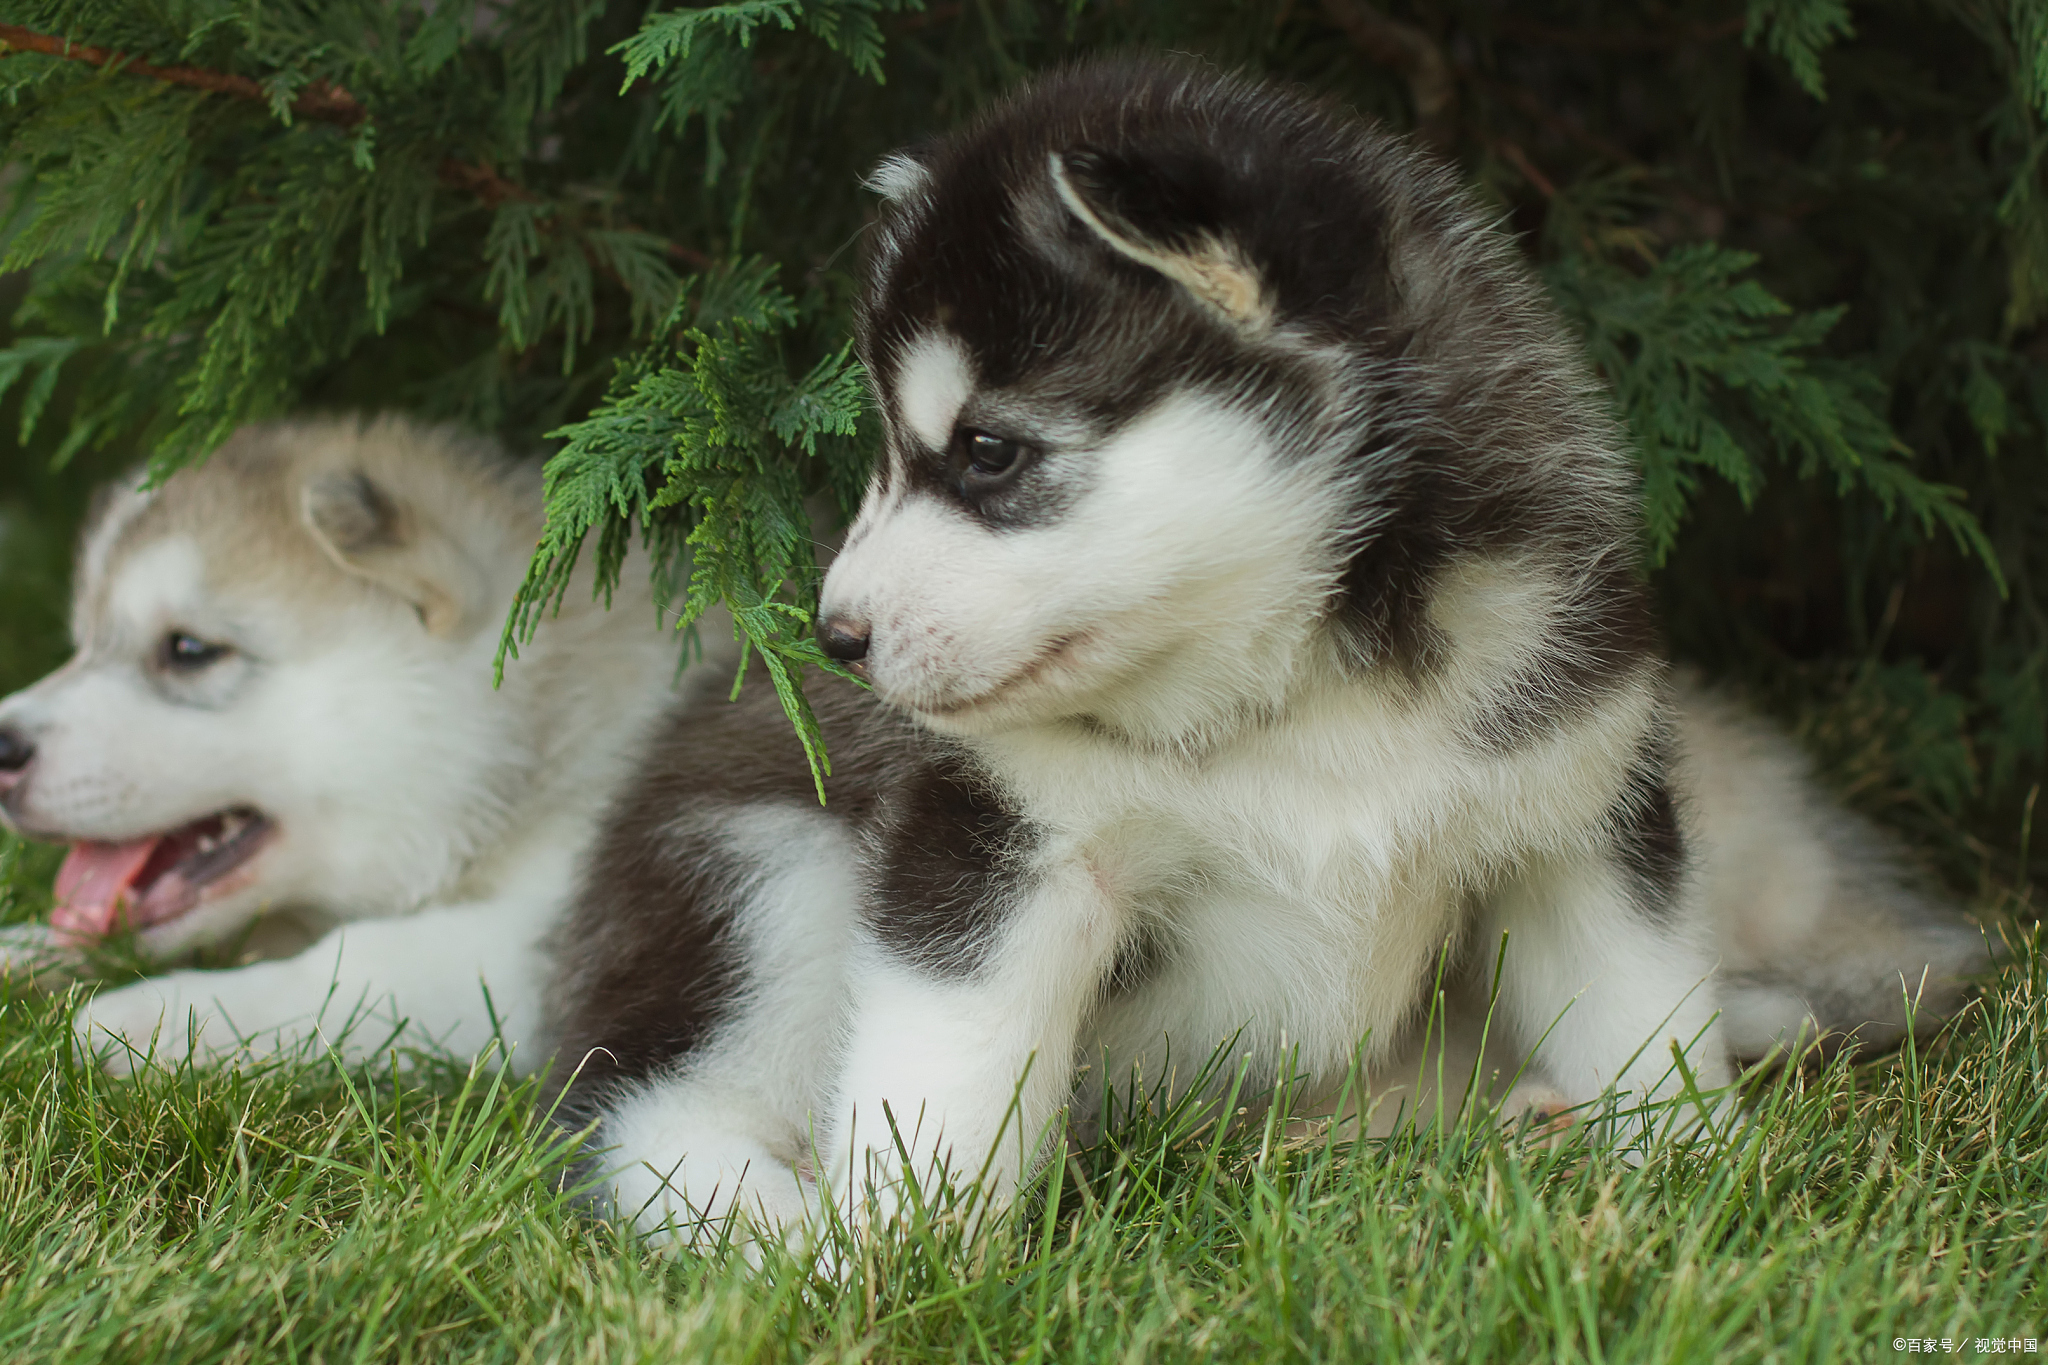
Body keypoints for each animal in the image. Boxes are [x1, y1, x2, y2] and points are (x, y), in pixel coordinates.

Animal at [544, 56, 1982, 1252]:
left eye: (989, 452)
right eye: (894, 450)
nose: (835, 636)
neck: (1302, 685)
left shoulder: (1574, 814)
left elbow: (1639, 1011)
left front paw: (1685, 1171)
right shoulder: (998, 844)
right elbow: (946, 1074)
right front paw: (906, 1257)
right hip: (768, 871)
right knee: (648, 1111)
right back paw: (777, 1226)